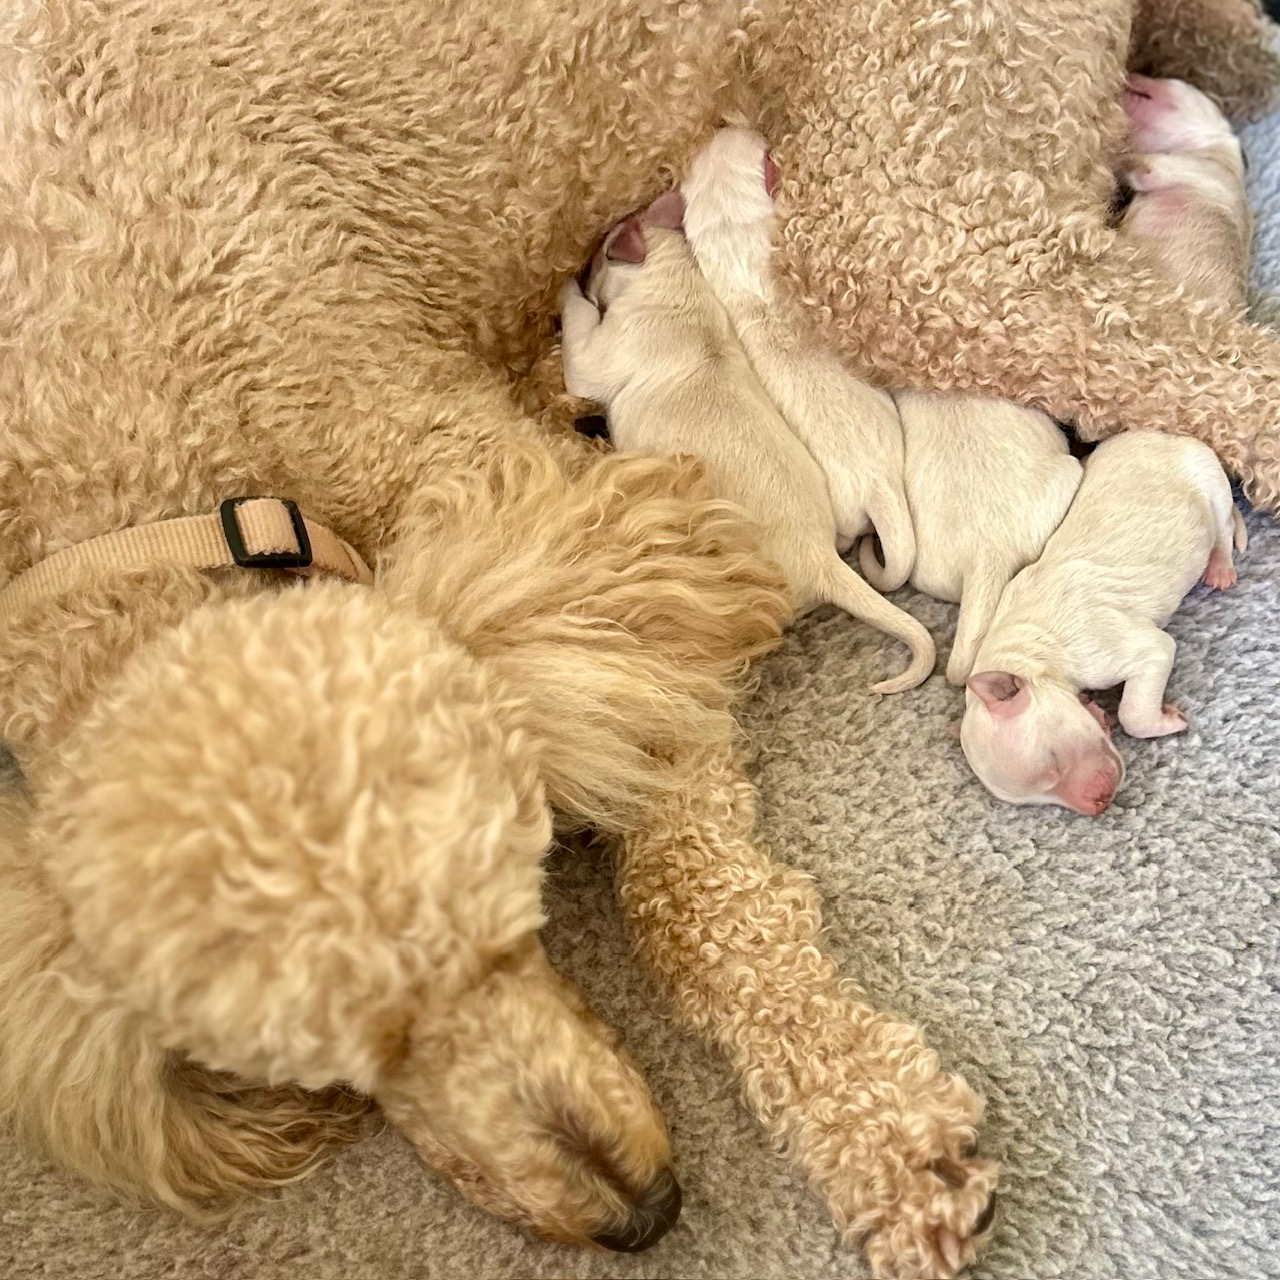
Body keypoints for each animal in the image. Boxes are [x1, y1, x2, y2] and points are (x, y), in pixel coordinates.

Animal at [555, 198, 936, 696]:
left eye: (602, 253)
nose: (583, 265)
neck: (679, 285)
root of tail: (821, 560)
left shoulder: (601, 350)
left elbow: (579, 332)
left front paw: (564, 289)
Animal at [962, 427, 1244, 808]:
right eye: (1041, 799)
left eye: (1052, 763)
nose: (1099, 804)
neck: (1030, 653)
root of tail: (1165, 436)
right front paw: (1096, 712)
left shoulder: (1130, 647)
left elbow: (1134, 712)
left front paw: (1169, 719)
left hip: (1210, 481)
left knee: (1224, 528)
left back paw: (1220, 568)